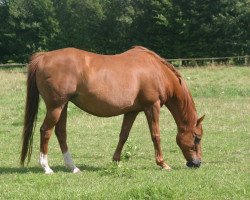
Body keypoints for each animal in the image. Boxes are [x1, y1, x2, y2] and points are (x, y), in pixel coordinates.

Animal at [20, 46, 204, 173]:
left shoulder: (132, 111)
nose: (197, 163)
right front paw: (162, 163)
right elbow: (155, 135)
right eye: (197, 138)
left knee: (61, 133)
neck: (158, 72)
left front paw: (116, 160)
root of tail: (44, 57)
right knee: (45, 131)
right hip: (55, 107)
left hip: (62, 106)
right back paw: (46, 167)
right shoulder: (152, 106)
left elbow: (123, 135)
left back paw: (73, 167)